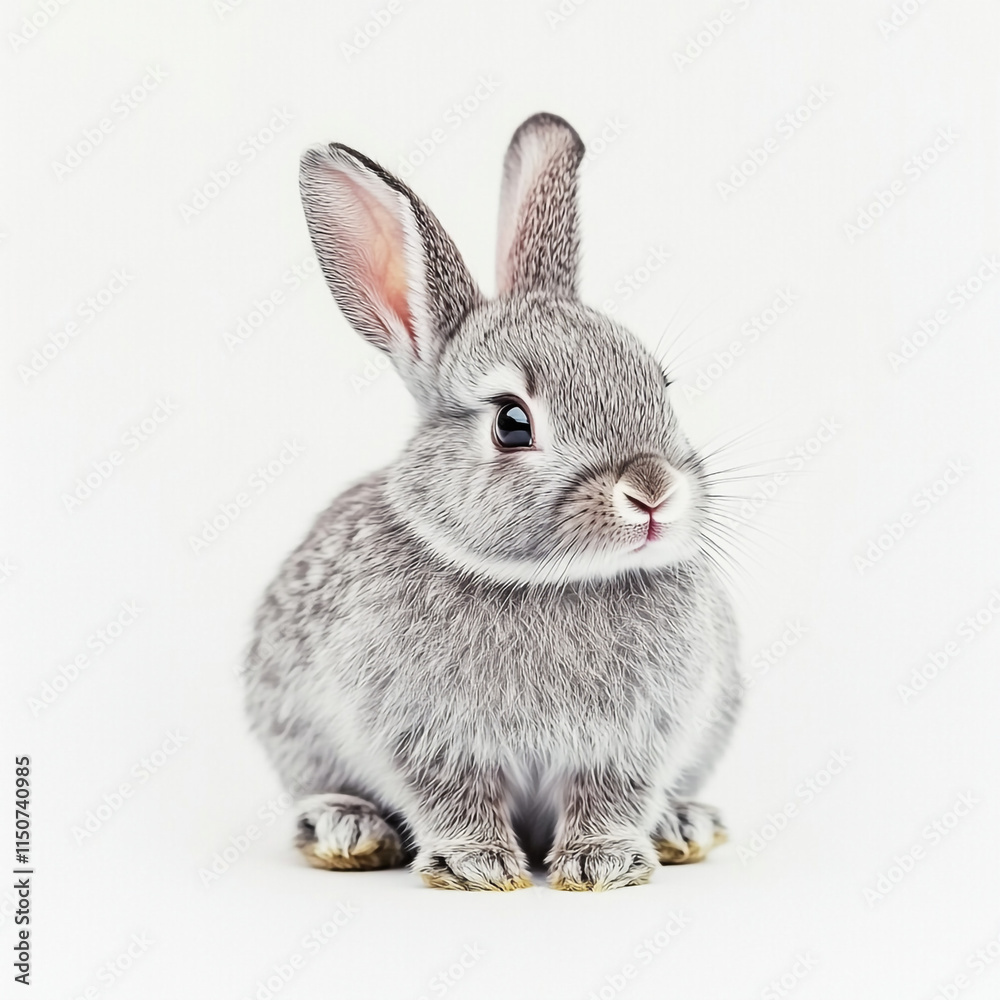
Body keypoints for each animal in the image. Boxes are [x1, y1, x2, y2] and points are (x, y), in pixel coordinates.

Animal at [243, 112, 742, 891]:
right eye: (511, 422)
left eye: (659, 385)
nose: (653, 492)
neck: (550, 583)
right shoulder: (423, 736)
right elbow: (454, 794)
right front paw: (477, 866)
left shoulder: (635, 739)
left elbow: (612, 793)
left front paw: (603, 862)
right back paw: (345, 828)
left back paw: (680, 825)